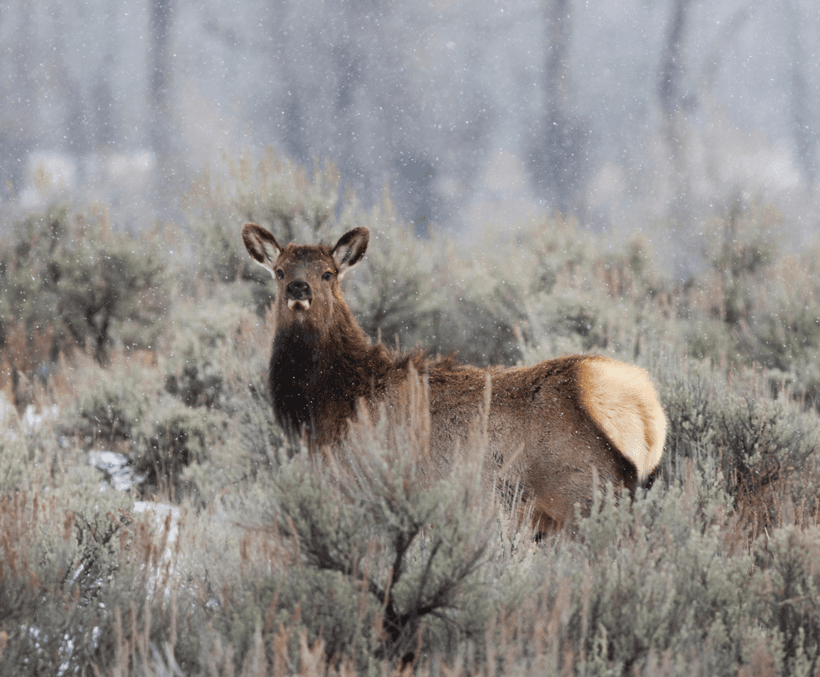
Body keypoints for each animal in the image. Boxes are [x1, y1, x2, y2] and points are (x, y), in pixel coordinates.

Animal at [242, 222, 667, 534]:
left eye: (328, 273)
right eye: (279, 271)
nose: (299, 288)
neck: (333, 406)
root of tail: (646, 410)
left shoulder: (357, 486)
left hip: (582, 493)